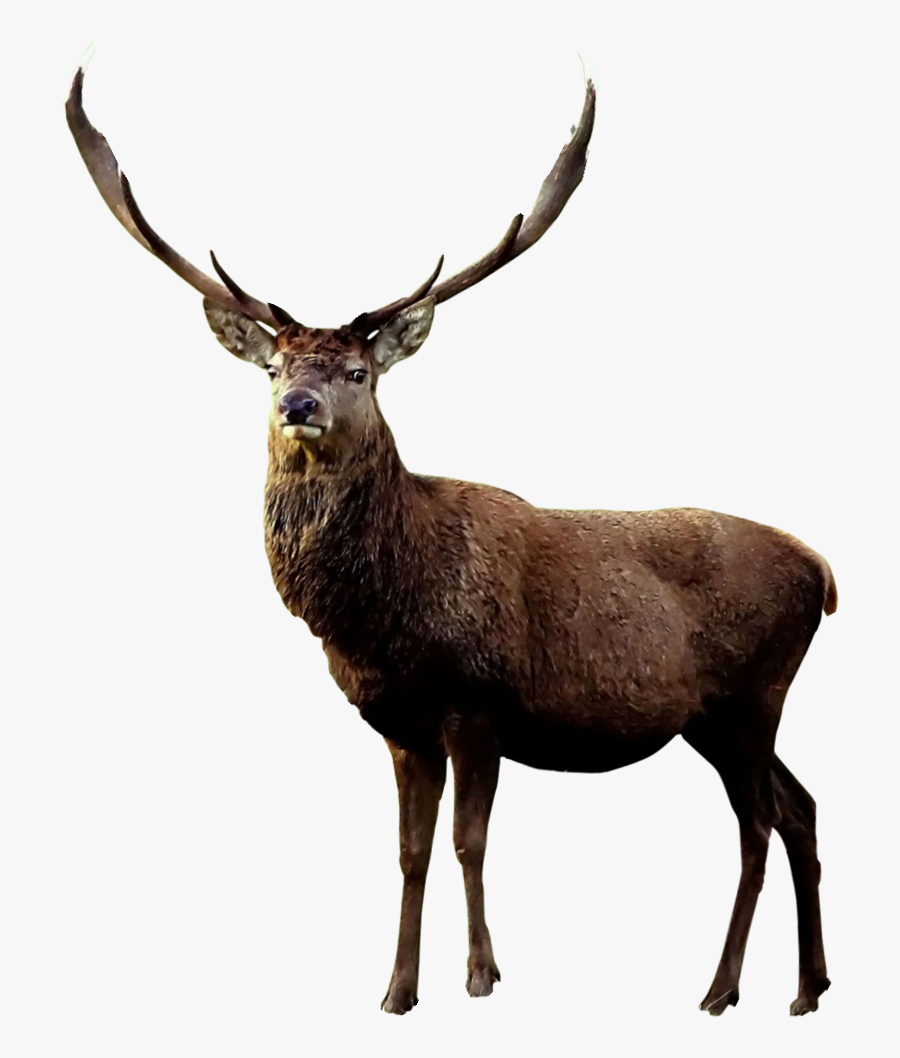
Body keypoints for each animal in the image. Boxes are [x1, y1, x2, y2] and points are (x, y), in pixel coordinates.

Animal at [67, 53, 836, 1018]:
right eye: (275, 365)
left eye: (359, 371)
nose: (299, 405)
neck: (385, 621)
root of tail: (825, 572)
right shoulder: (400, 725)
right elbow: (411, 852)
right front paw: (397, 989)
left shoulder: (480, 702)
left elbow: (471, 842)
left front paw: (480, 975)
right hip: (720, 714)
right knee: (801, 808)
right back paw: (808, 988)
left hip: (751, 694)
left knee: (758, 824)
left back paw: (721, 989)